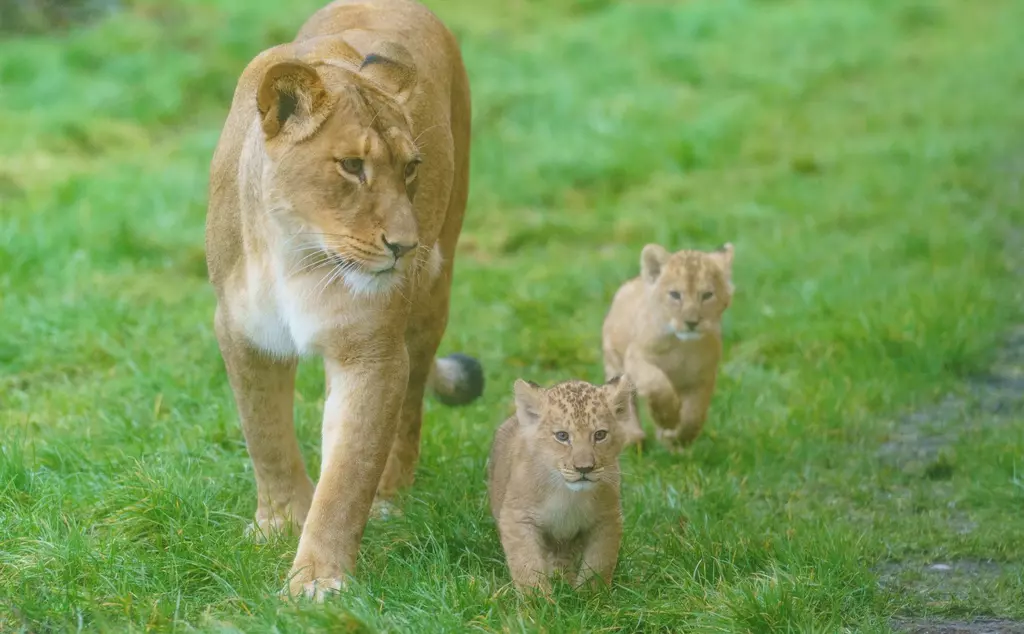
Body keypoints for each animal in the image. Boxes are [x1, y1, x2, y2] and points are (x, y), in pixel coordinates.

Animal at [206, 0, 483, 598]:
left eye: (411, 167)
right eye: (352, 166)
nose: (405, 247)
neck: (298, 254)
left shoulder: (371, 351)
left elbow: (348, 474)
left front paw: (317, 582)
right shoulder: (242, 333)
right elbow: (265, 434)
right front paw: (280, 522)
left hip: (431, 296)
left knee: (410, 407)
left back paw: (390, 498)